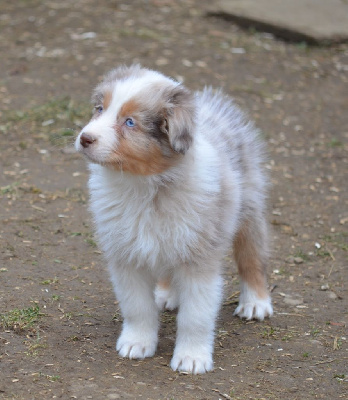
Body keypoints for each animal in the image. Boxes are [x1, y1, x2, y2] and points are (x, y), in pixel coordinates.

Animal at [75, 64, 274, 374]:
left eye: (129, 122)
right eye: (99, 109)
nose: (85, 138)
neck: (144, 186)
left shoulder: (199, 258)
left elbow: (196, 316)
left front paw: (191, 358)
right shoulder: (126, 255)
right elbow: (137, 306)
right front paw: (137, 342)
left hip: (249, 207)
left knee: (252, 257)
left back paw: (255, 302)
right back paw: (167, 294)